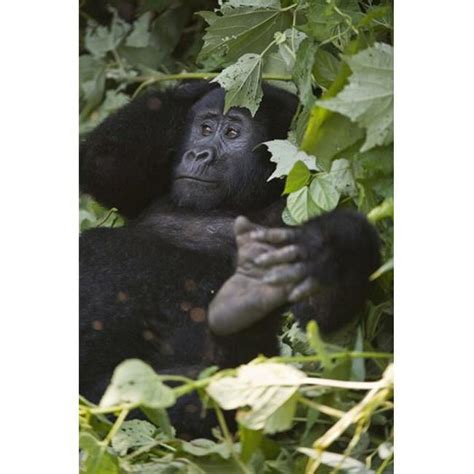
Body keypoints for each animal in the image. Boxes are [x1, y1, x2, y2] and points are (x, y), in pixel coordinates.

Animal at [79, 82, 380, 436]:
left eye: (233, 133)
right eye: (205, 129)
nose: (199, 154)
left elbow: (315, 319)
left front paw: (333, 248)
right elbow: (105, 163)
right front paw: (191, 89)